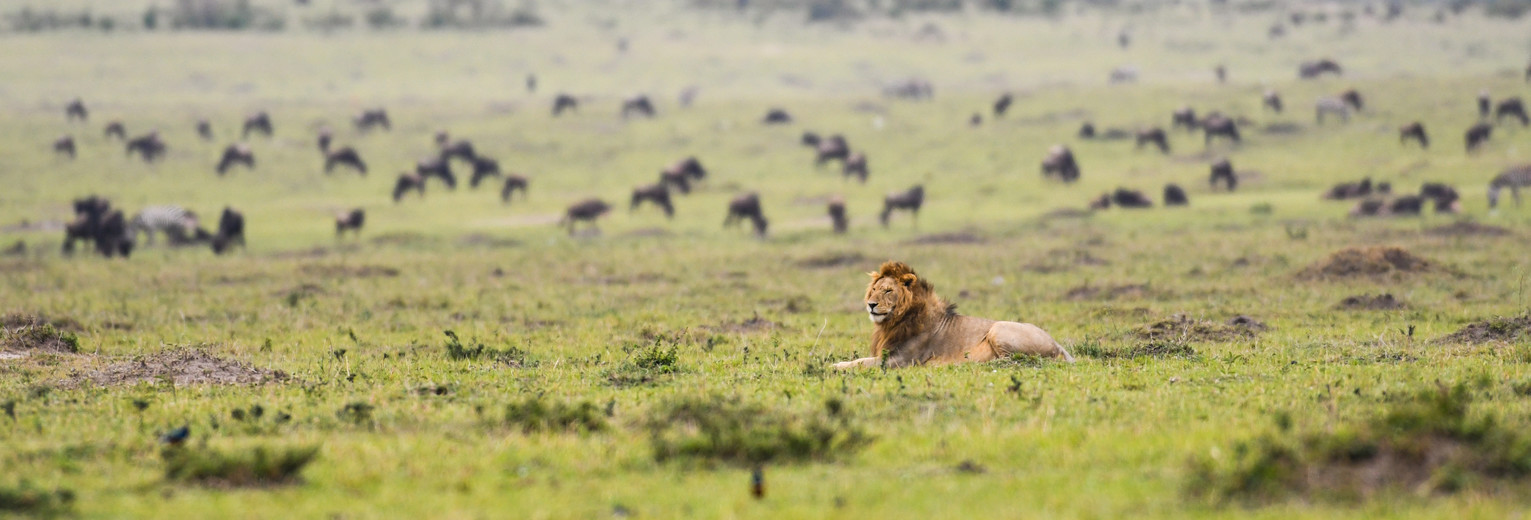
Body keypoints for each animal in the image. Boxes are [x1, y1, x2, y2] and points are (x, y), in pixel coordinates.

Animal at [832, 261, 1073, 369]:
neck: (894, 321)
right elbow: (860, 359)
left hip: (998, 328)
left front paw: (834, 366)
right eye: (874, 290)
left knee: (1010, 360)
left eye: (888, 291)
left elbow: (860, 362)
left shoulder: (900, 360)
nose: (871, 305)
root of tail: (1058, 344)